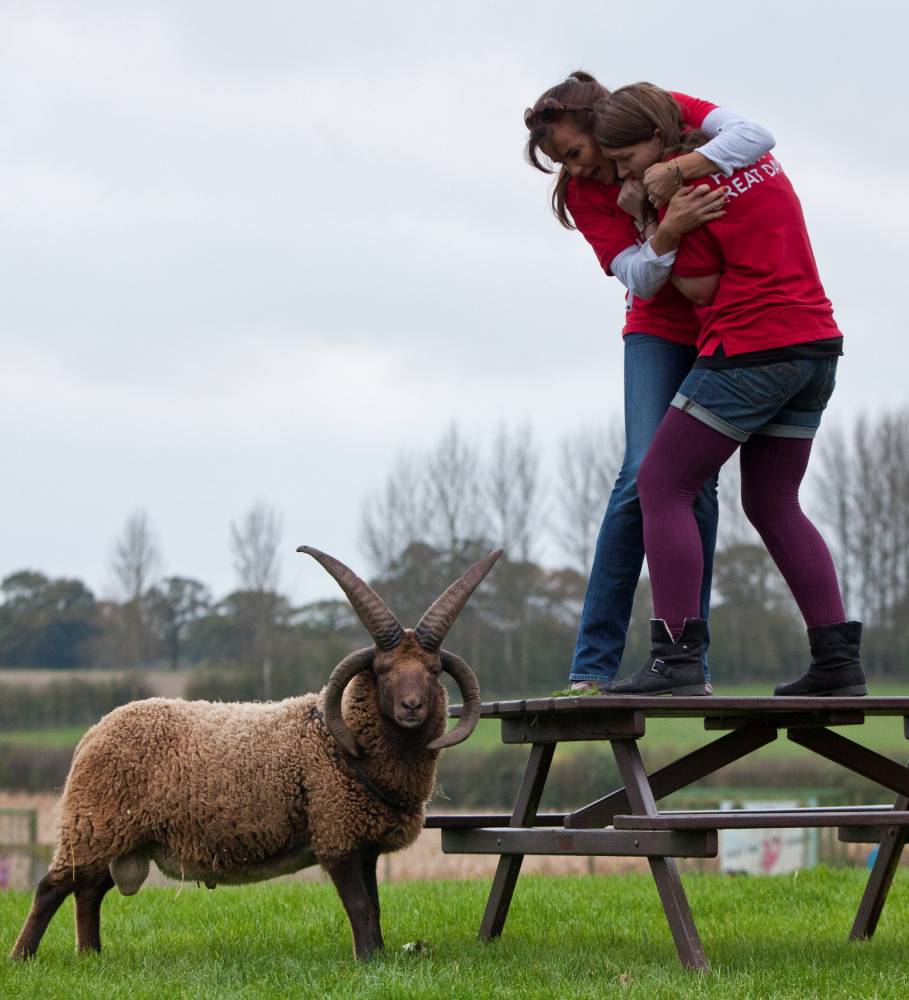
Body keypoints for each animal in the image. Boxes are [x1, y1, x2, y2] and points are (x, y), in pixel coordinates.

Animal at [10, 548, 500, 960]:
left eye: (433, 671)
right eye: (381, 670)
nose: (412, 707)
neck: (340, 743)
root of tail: (92, 735)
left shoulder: (363, 843)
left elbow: (375, 907)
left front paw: (377, 956)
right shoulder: (336, 834)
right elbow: (360, 906)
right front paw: (367, 962)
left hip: (115, 833)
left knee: (88, 890)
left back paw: (90, 955)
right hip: (93, 824)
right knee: (51, 887)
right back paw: (24, 957)